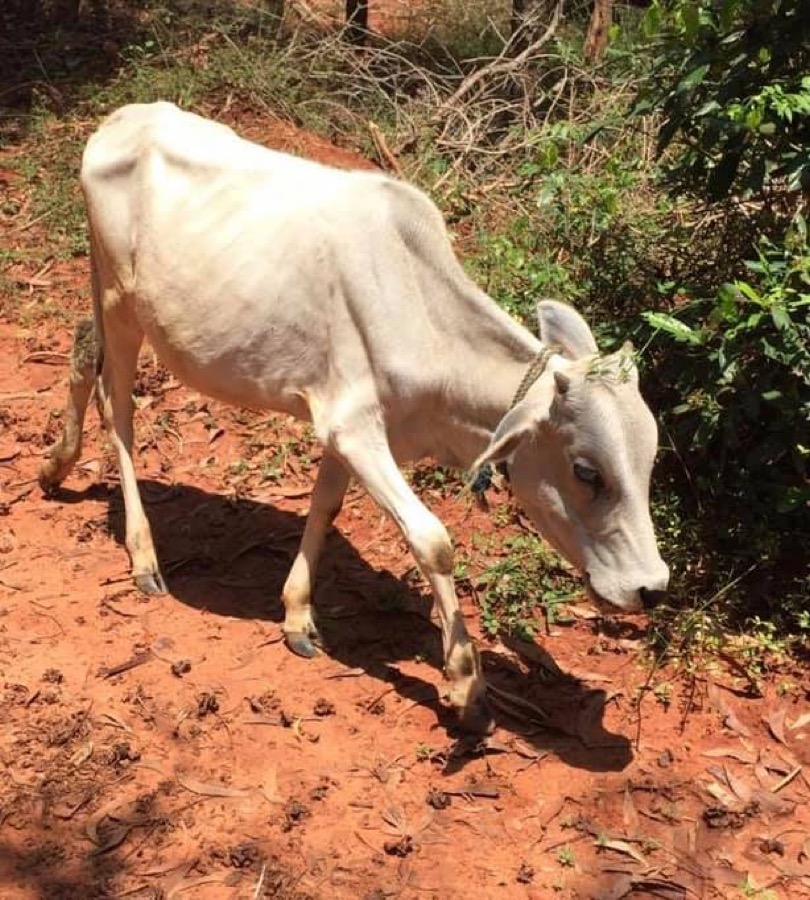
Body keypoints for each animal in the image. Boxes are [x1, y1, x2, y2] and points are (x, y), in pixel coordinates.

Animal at [40, 102, 669, 731]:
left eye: (650, 463)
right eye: (586, 471)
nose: (652, 588)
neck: (427, 321)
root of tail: (126, 118)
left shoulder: (343, 429)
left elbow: (325, 506)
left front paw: (297, 615)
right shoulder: (355, 428)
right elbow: (433, 540)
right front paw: (466, 684)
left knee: (82, 348)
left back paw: (55, 467)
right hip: (121, 297)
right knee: (117, 407)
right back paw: (142, 553)